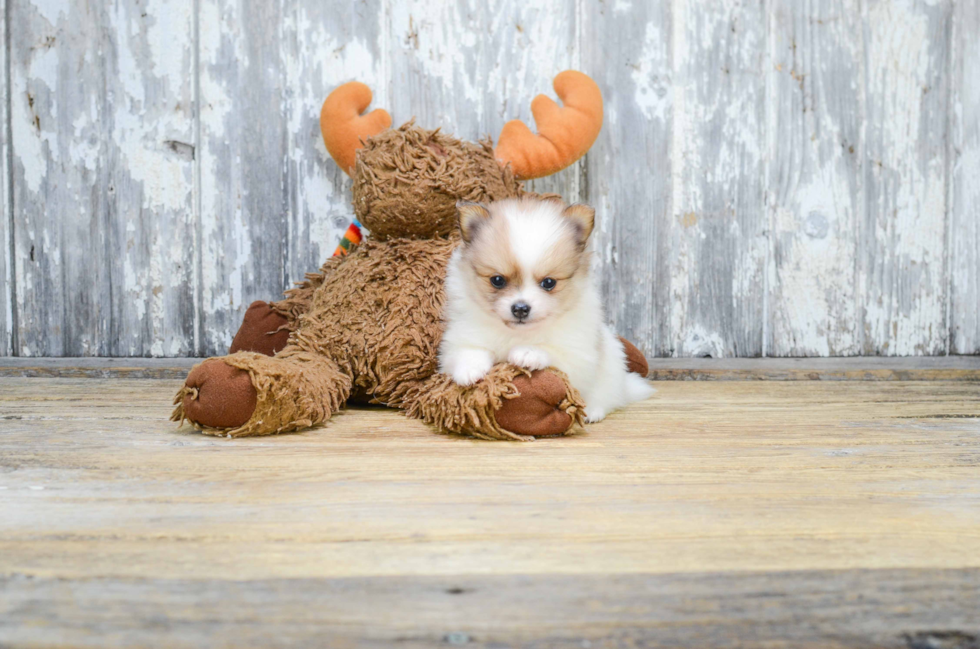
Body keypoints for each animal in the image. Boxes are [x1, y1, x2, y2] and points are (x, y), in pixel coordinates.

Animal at [440, 195, 656, 422]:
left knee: (606, 397)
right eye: (497, 280)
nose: (520, 308)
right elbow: (467, 351)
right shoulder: (459, 338)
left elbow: (551, 351)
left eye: (549, 283)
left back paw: (592, 411)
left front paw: (527, 353)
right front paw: (469, 369)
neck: (518, 334)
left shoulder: (578, 354)